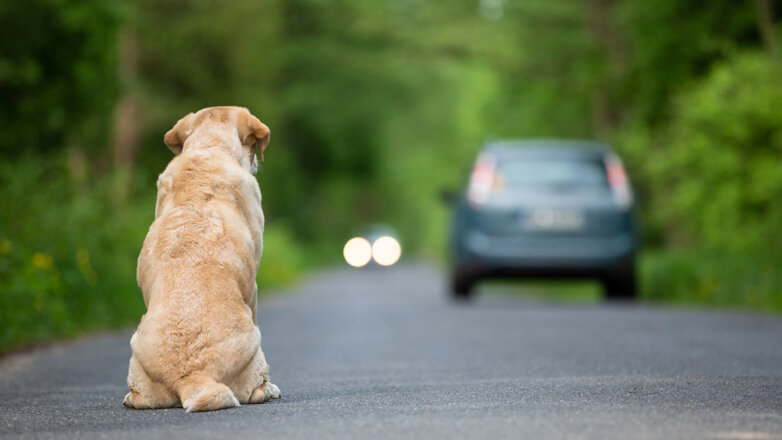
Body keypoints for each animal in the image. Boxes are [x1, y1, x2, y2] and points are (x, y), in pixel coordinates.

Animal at [122, 105, 282, 412]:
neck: (209, 148)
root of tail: (193, 375)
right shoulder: (253, 288)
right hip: (254, 344)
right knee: (255, 389)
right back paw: (269, 389)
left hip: (136, 351)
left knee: (139, 398)